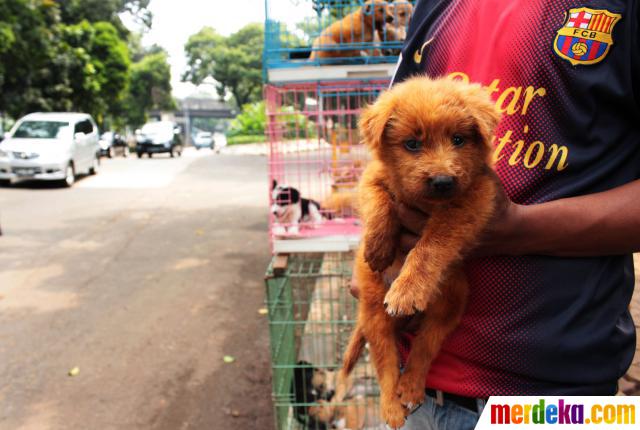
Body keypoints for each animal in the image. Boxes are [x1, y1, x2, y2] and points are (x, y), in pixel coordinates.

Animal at [338, 75, 502, 428]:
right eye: (412, 144)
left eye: (458, 139)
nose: (442, 181)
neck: (426, 202)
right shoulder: (373, 176)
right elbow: (378, 204)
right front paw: (377, 246)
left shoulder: (470, 200)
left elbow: (429, 246)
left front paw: (408, 289)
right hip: (375, 314)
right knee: (386, 369)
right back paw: (391, 408)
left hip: (450, 303)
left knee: (424, 349)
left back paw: (411, 388)